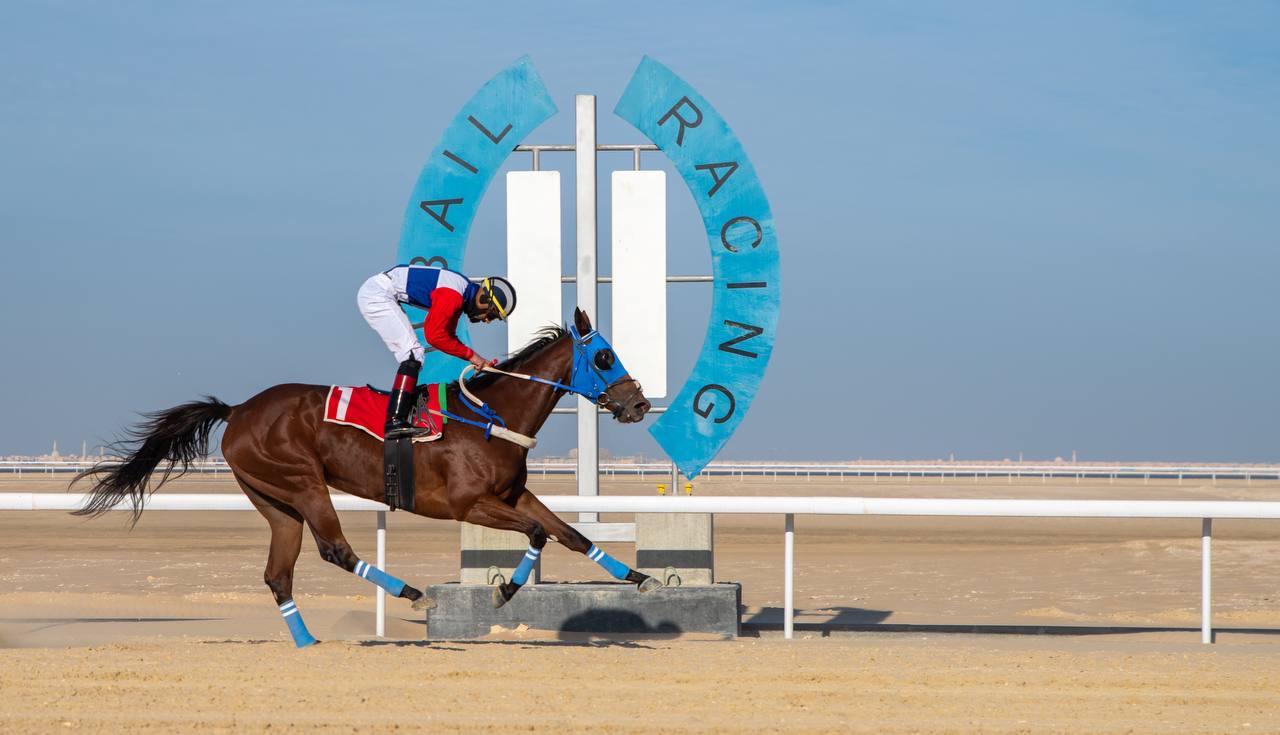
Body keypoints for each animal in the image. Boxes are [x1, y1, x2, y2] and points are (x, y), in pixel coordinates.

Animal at [72, 308, 657, 647]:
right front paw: (504, 592)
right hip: (303, 483)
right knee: (334, 549)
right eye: (605, 357)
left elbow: (570, 533)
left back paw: (308, 642)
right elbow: (538, 534)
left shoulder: (513, 493)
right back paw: (413, 594)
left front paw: (638, 577)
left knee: (278, 574)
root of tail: (238, 411)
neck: (492, 415)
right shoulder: (468, 503)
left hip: (275, 501)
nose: (639, 404)